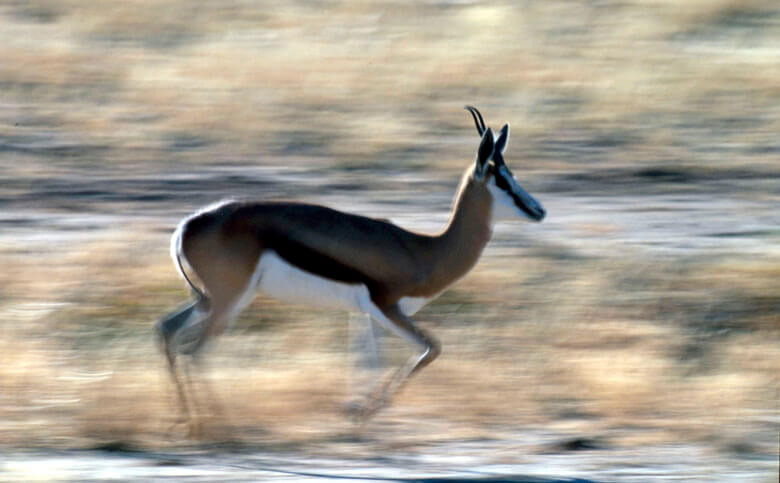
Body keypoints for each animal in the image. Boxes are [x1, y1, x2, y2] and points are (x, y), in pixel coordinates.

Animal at [158, 108, 544, 426]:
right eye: (502, 179)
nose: (539, 210)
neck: (424, 250)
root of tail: (187, 226)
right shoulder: (387, 308)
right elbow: (431, 349)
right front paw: (365, 412)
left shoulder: (366, 313)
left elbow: (368, 361)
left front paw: (355, 412)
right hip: (229, 302)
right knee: (195, 351)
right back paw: (221, 426)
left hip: (209, 300)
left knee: (167, 330)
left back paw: (183, 421)